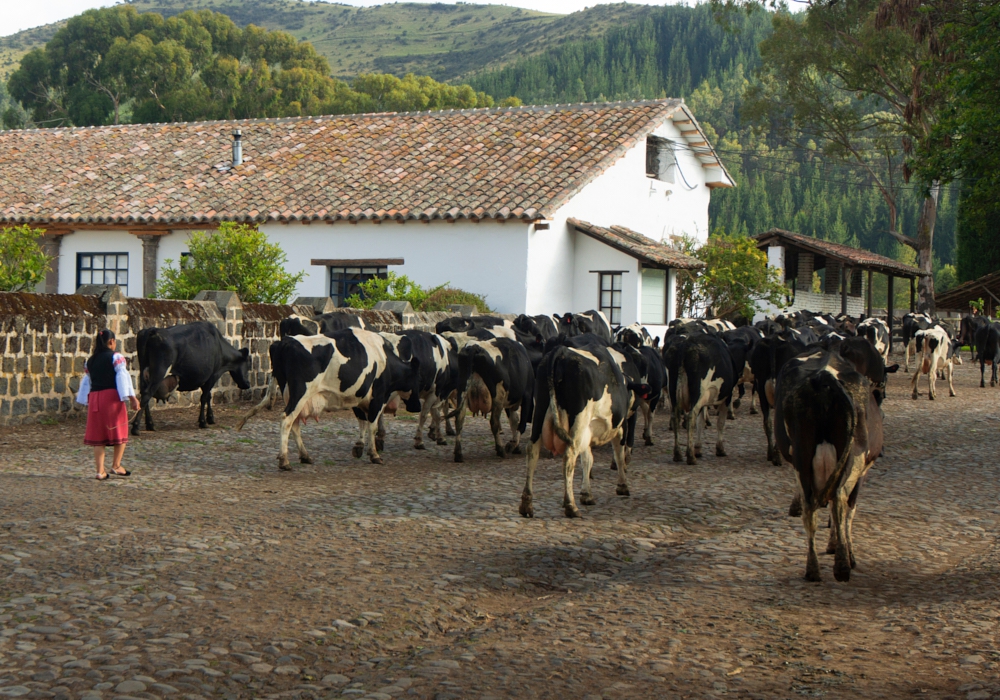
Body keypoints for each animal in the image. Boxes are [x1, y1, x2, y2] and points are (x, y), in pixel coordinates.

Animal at [239, 330, 422, 470]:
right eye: (417, 381)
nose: (417, 407)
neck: (384, 359)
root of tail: (284, 342)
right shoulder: (378, 396)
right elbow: (372, 426)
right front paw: (374, 454)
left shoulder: (358, 396)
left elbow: (363, 422)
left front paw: (361, 448)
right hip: (300, 393)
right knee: (286, 420)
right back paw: (284, 460)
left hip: (289, 395)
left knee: (294, 424)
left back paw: (305, 456)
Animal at [520, 342, 636, 516]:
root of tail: (562, 351)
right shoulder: (620, 426)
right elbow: (619, 455)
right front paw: (622, 486)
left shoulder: (588, 432)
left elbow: (587, 459)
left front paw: (586, 494)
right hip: (579, 420)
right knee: (569, 456)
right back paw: (570, 505)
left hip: (539, 414)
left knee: (532, 451)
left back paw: (526, 505)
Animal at [664, 334, 736, 464]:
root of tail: (685, 345)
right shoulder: (726, 397)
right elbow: (720, 423)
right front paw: (720, 449)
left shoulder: (704, 402)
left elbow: (700, 422)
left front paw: (698, 448)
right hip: (698, 392)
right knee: (691, 417)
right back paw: (690, 456)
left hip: (672, 391)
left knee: (675, 417)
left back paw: (678, 454)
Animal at [772, 348, 884, 580]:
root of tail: (824, 376)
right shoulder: (862, 474)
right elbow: (848, 511)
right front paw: (846, 552)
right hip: (855, 456)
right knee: (840, 499)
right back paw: (842, 565)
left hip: (802, 455)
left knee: (809, 508)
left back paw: (812, 569)